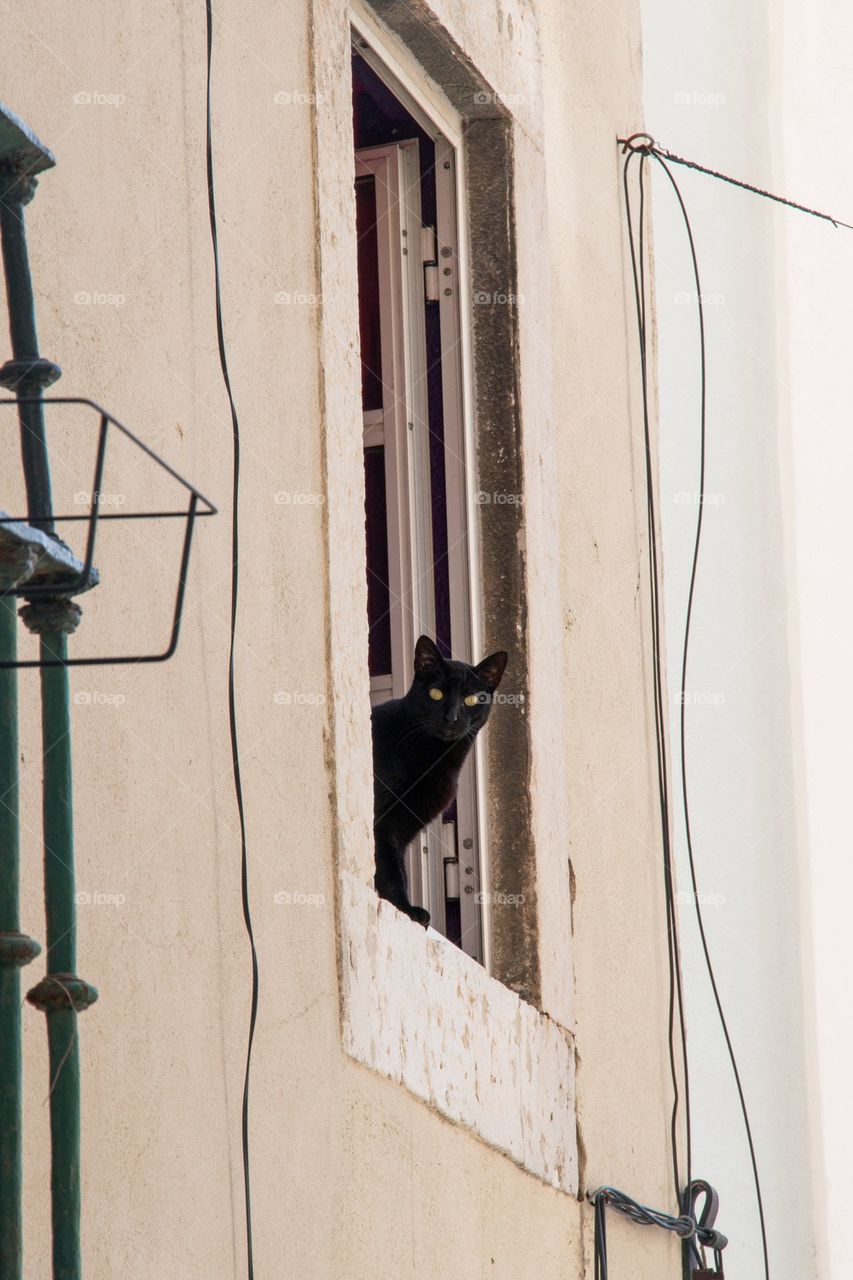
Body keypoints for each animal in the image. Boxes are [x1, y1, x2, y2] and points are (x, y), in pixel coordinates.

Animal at [371, 634, 504, 926]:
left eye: (470, 699)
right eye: (436, 694)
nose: (452, 718)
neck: (437, 758)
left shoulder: (401, 828)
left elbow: (397, 867)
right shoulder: (382, 821)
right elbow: (389, 869)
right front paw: (405, 909)